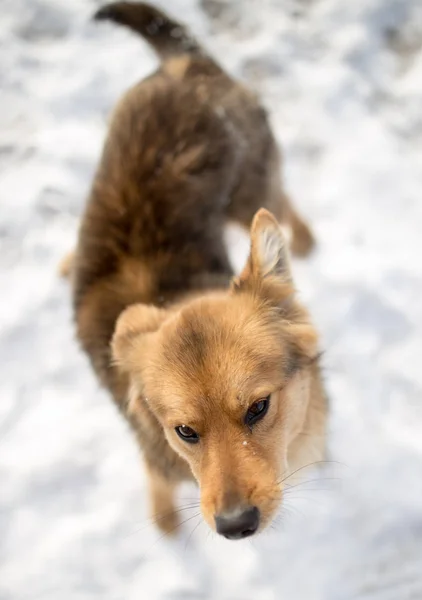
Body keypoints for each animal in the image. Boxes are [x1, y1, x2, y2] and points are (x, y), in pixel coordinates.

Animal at [67, 1, 328, 540]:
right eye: (186, 431)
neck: (172, 295)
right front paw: (166, 523)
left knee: (279, 202)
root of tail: (187, 66)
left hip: (250, 188)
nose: (234, 526)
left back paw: (305, 238)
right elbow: (159, 486)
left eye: (258, 408)